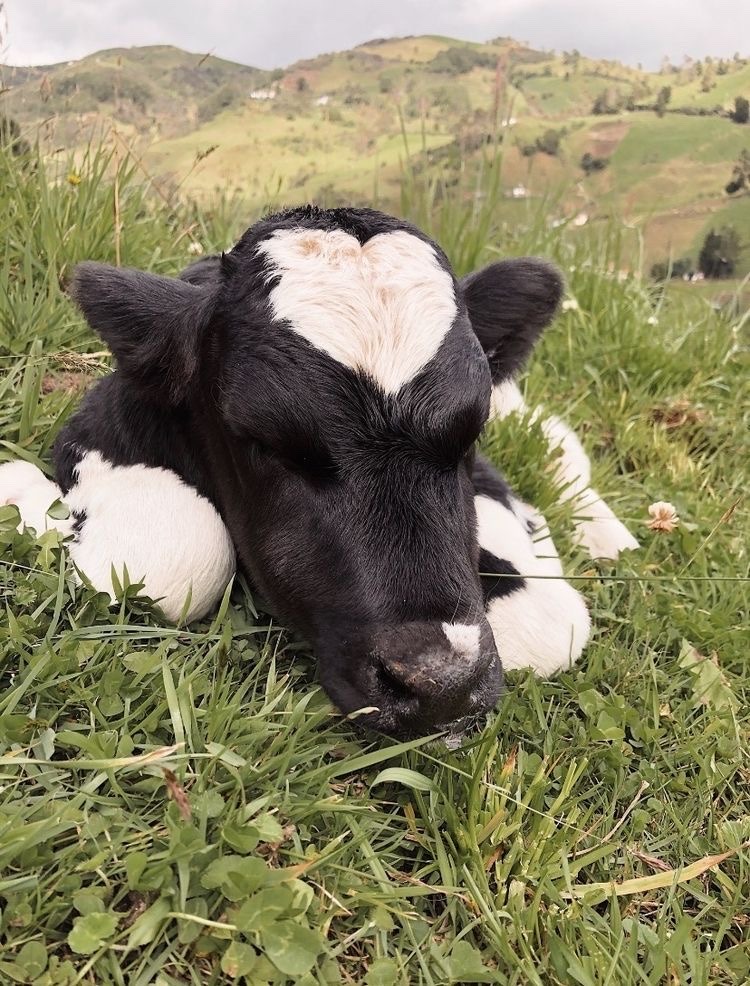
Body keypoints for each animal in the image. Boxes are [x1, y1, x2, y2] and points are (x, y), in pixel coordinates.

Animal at [0, 206, 637, 738]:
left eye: (470, 431)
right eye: (262, 442)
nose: (441, 686)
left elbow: (550, 622)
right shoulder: (100, 428)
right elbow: (173, 556)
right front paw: (19, 490)